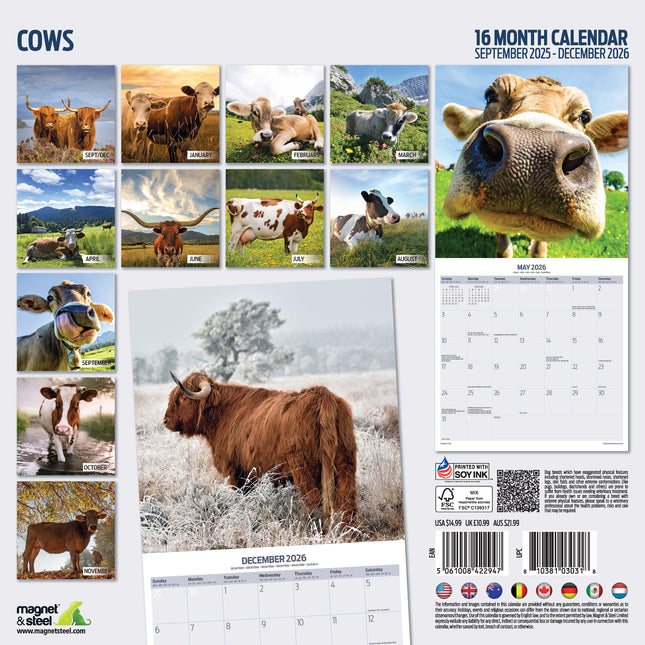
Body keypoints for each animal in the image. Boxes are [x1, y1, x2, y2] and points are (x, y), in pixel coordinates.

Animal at [164, 371, 357, 526]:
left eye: (183, 398)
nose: (166, 420)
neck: (223, 414)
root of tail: (321, 395)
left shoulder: (235, 472)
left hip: (303, 469)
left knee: (314, 502)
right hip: (345, 463)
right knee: (347, 502)